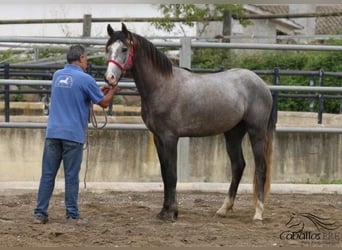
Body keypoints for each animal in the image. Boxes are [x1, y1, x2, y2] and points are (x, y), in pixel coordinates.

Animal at [103, 23, 276, 223]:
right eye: (108, 48)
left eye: (124, 49)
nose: (109, 78)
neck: (161, 86)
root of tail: (262, 85)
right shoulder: (158, 138)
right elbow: (164, 174)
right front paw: (164, 211)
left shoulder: (170, 138)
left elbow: (171, 175)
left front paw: (171, 213)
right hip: (233, 133)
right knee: (238, 166)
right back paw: (223, 209)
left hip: (257, 132)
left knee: (261, 168)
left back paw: (258, 213)